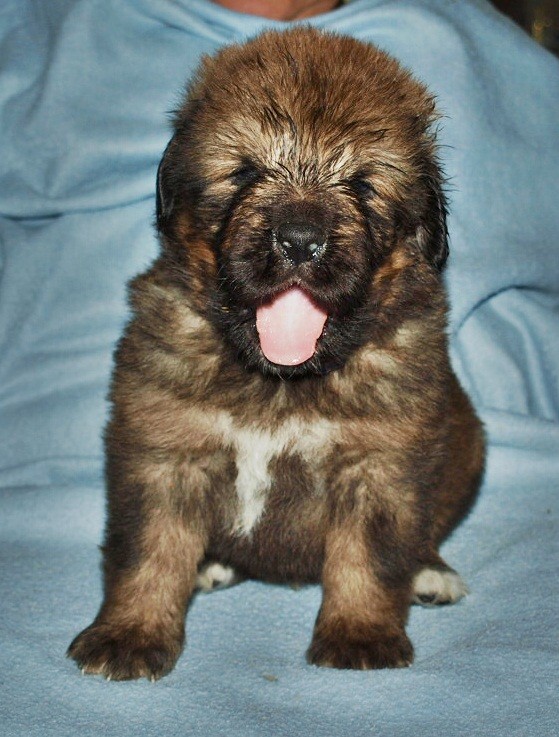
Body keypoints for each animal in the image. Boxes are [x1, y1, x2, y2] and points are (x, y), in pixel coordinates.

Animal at [68, 27, 484, 679]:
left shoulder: (377, 465)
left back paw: (432, 572)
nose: (300, 239)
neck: (277, 381)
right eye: (244, 173)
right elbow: (150, 551)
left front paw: (360, 633)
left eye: (362, 184)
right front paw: (130, 633)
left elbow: (368, 557)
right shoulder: (165, 452)